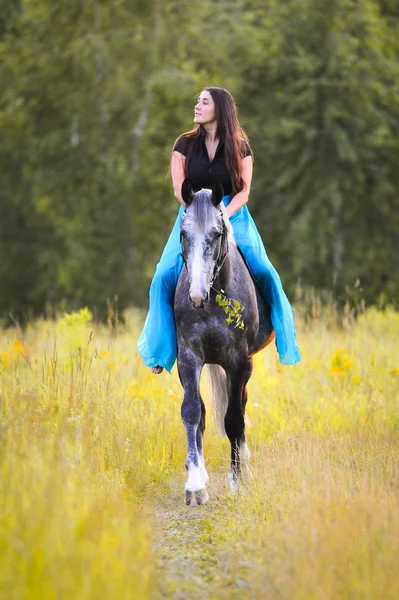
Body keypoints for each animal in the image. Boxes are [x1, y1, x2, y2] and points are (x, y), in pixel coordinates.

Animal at [175, 179, 276, 506]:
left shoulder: (238, 361)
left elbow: (233, 419)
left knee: (240, 407)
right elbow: (192, 412)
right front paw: (195, 484)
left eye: (217, 234)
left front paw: (236, 480)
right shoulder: (189, 357)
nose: (196, 296)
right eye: (183, 234)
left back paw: (244, 465)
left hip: (245, 366)